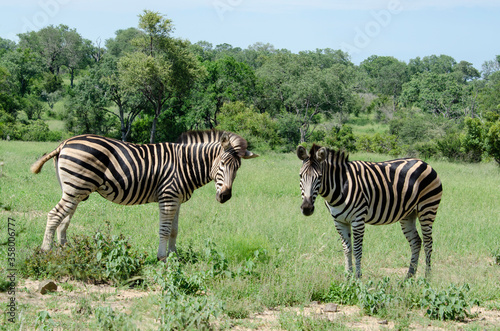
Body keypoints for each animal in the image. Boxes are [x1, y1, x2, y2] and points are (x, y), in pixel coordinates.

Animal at [30, 131, 258, 260]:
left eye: (238, 168)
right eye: (222, 164)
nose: (225, 196)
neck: (186, 164)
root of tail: (65, 142)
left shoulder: (177, 200)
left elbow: (174, 230)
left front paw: (174, 256)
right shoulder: (168, 196)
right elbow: (164, 230)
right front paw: (161, 257)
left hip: (74, 190)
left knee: (64, 219)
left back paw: (65, 250)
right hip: (75, 187)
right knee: (54, 215)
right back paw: (45, 251)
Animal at [296, 145, 442, 280]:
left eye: (320, 177)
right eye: (300, 176)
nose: (307, 208)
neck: (340, 186)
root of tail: (424, 163)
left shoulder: (358, 220)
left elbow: (357, 250)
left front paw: (358, 278)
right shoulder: (339, 221)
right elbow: (347, 249)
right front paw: (347, 278)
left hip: (427, 209)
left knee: (428, 242)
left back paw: (427, 278)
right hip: (408, 214)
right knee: (416, 241)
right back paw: (408, 277)